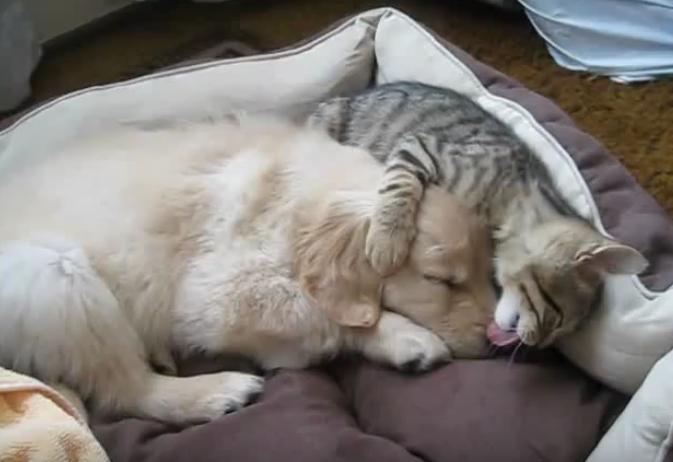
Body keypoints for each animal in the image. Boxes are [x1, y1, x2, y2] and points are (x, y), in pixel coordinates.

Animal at [0, 117, 494, 424]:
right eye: (440, 280)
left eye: (489, 273)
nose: (494, 341)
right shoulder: (214, 298)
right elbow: (320, 314)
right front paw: (405, 336)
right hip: (57, 277)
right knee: (127, 392)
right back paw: (216, 392)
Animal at [308, 81, 644, 348]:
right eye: (558, 315)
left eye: (563, 331)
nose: (537, 345)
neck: (517, 194)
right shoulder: (420, 146)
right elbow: (399, 187)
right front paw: (387, 240)